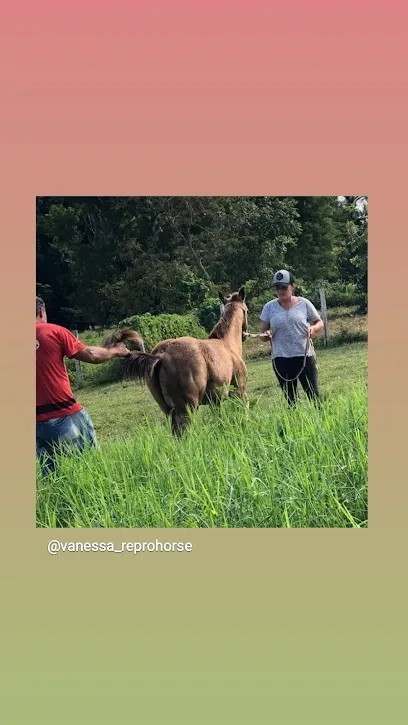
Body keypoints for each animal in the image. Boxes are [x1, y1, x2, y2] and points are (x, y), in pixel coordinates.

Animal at [102, 288, 249, 436]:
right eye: (246, 310)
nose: (244, 335)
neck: (226, 343)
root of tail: (162, 356)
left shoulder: (216, 401)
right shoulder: (240, 391)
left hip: (169, 412)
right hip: (188, 410)